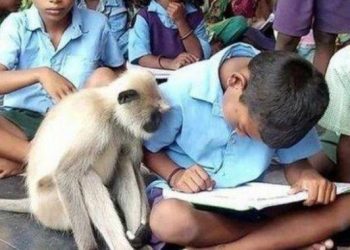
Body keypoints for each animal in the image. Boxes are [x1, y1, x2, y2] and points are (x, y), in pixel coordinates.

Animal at [0, 70, 170, 250]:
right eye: (154, 115)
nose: (159, 122)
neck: (110, 110)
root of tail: (33, 204)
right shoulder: (95, 124)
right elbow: (64, 174)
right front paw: (89, 246)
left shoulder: (126, 128)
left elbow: (135, 166)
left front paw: (144, 231)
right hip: (53, 208)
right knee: (86, 176)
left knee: (123, 162)